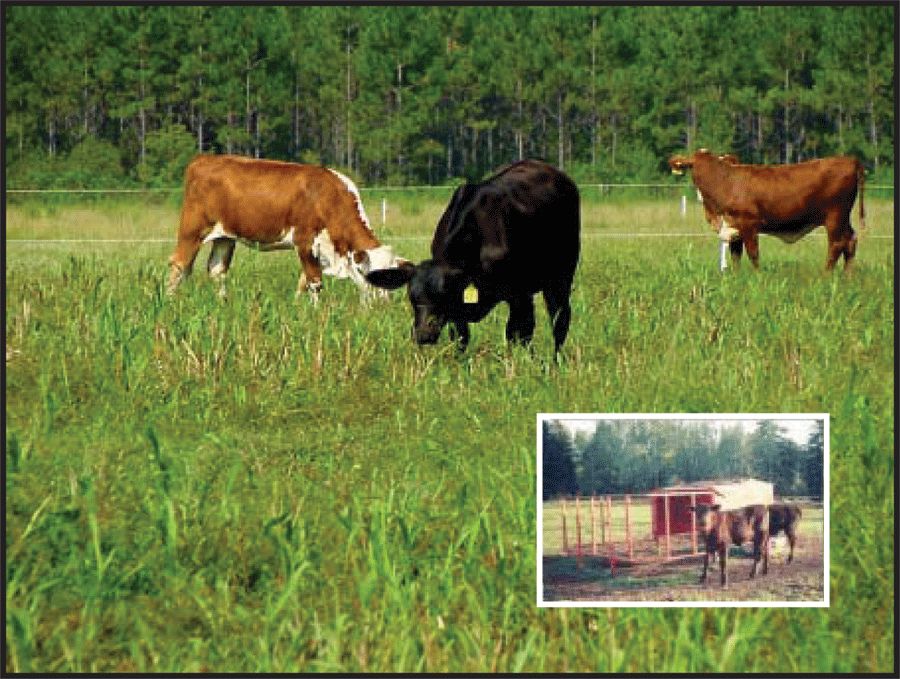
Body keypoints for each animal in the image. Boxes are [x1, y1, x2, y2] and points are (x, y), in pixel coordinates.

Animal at [166, 155, 404, 304]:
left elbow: (303, 282)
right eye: (371, 274)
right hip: (192, 230)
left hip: (225, 236)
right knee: (179, 264)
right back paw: (170, 303)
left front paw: (298, 307)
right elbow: (314, 282)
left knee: (216, 269)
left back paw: (223, 303)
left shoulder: (315, 249)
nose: (383, 305)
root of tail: (204, 159)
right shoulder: (305, 240)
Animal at [368, 157, 584, 354]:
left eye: (442, 295)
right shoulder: (458, 310)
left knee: (559, 320)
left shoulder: (520, 295)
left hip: (561, 275)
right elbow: (460, 338)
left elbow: (519, 335)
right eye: (412, 297)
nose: (423, 334)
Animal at [668, 150, 864, 272]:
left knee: (836, 245)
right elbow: (735, 257)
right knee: (851, 241)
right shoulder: (734, 228)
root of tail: (850, 160)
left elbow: (753, 255)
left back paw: (825, 276)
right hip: (843, 218)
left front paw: (757, 278)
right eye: (693, 165)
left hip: (834, 216)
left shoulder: (749, 225)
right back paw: (847, 278)